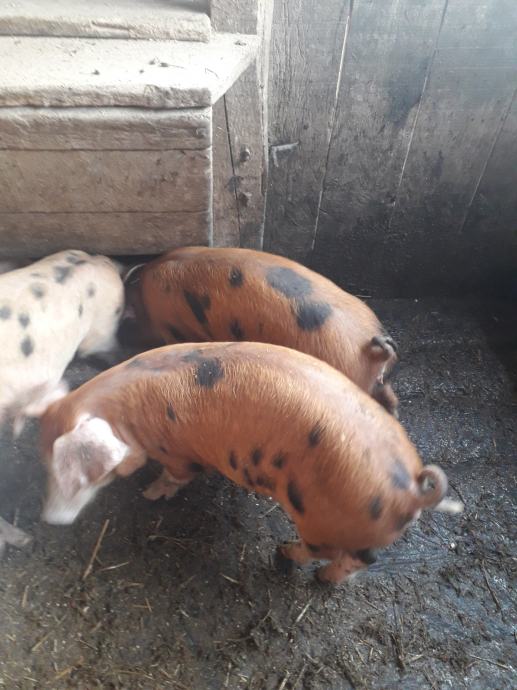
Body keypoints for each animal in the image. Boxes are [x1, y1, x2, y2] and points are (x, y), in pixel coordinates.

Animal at [39, 342, 461, 585]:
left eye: (80, 478)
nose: (49, 521)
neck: (128, 420)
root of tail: (411, 489)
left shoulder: (178, 453)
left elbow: (176, 476)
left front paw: (150, 493)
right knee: (364, 559)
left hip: (323, 522)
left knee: (337, 555)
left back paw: (288, 558)